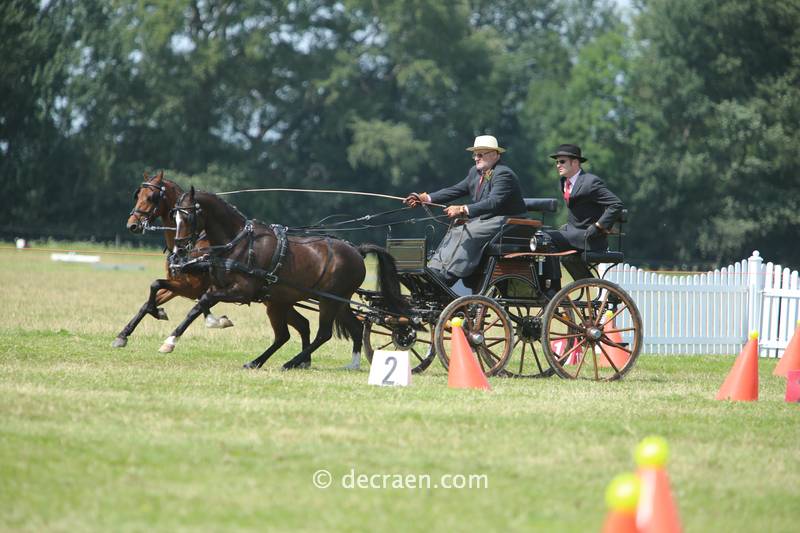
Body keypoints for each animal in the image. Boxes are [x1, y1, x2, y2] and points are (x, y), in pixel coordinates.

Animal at [114, 172, 310, 352]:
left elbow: (196, 305)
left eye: (152, 197)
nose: (132, 225)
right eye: (138, 195)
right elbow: (151, 294)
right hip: (278, 301)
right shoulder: (180, 284)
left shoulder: (196, 288)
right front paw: (126, 333)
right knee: (302, 324)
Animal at [167, 187, 406, 370]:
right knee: (350, 328)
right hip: (332, 301)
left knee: (322, 333)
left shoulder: (241, 291)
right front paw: (173, 340)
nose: (178, 251)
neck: (238, 244)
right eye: (174, 217)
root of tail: (357, 250)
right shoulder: (219, 287)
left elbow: (204, 301)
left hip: (328, 301)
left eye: (188, 216)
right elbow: (198, 305)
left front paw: (173, 340)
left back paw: (290, 362)